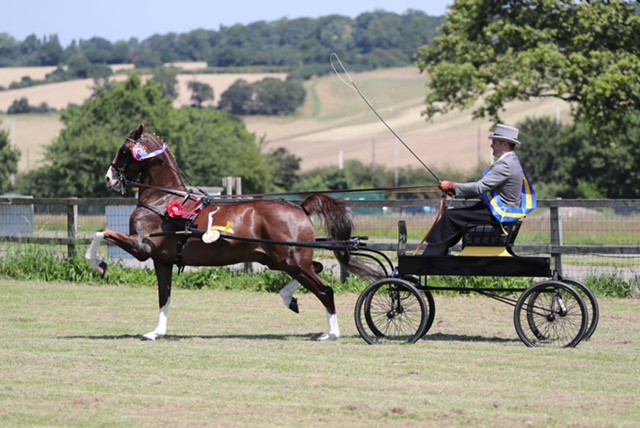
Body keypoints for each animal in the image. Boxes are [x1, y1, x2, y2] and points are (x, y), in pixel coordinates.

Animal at [86, 124, 380, 341]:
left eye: (124, 151)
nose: (109, 178)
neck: (163, 200)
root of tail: (300, 208)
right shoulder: (162, 261)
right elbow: (164, 296)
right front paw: (157, 332)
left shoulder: (142, 247)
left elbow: (102, 233)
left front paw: (98, 264)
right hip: (280, 260)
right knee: (317, 270)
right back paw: (289, 299)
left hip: (292, 260)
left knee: (325, 290)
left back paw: (332, 333)